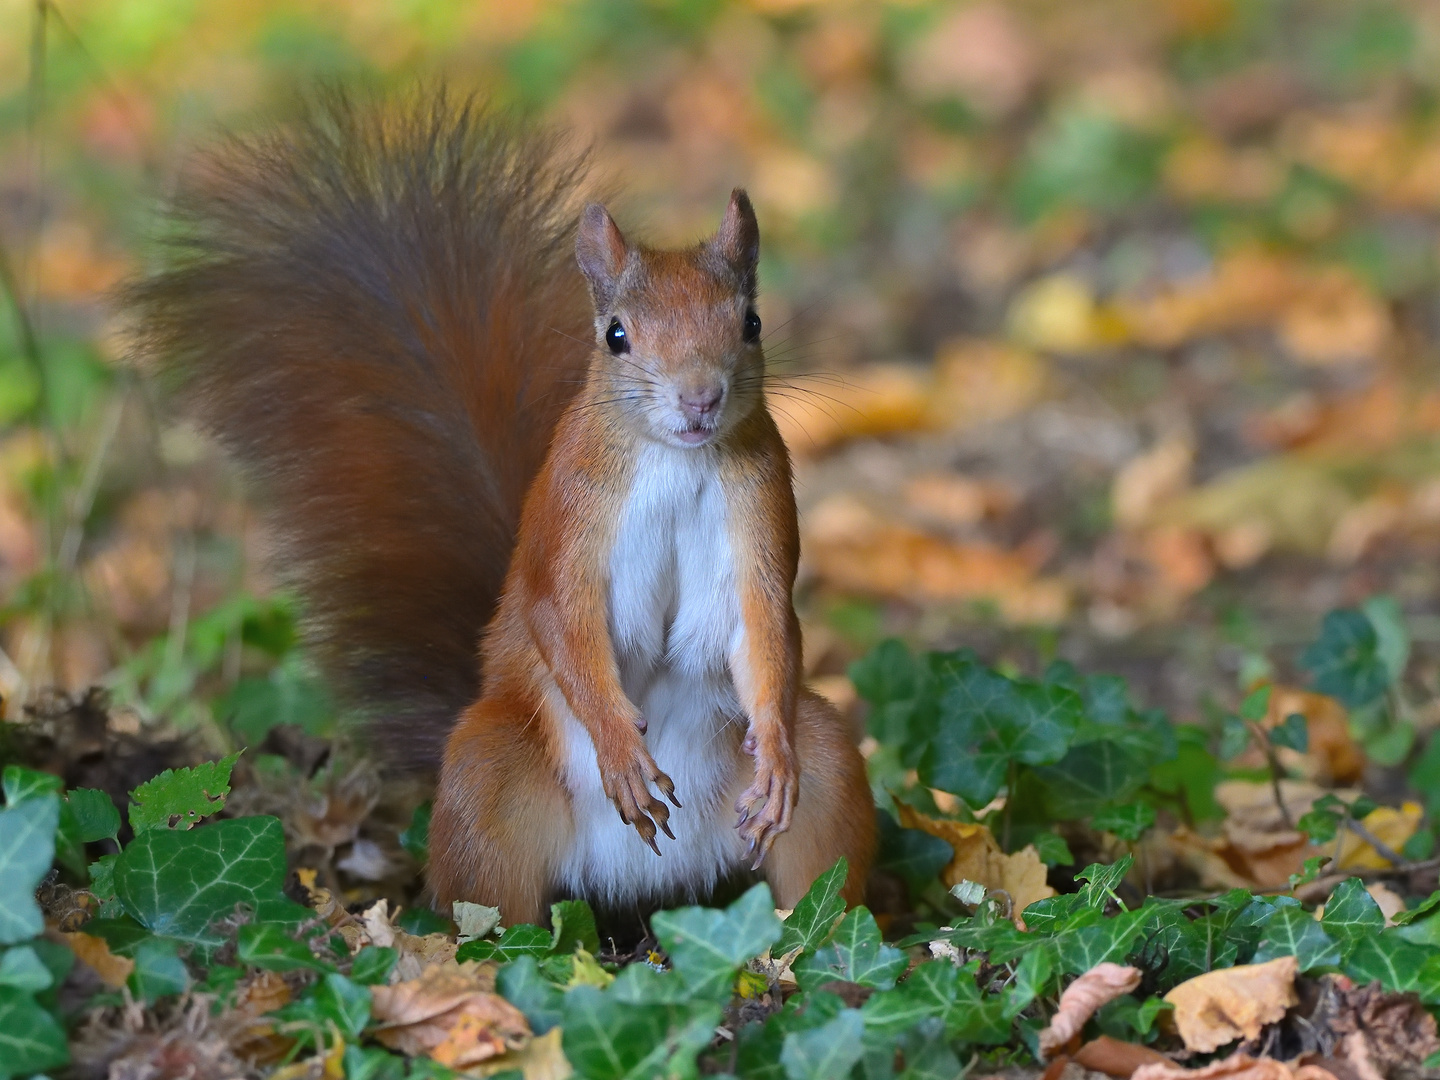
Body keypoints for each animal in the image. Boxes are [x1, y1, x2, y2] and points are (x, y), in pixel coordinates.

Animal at [132, 88, 875, 927]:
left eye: (750, 322)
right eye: (616, 335)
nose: (700, 398)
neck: (678, 460)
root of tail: (645, 886)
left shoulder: (761, 510)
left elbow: (768, 626)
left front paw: (774, 757)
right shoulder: (570, 514)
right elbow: (560, 617)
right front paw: (619, 746)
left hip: (829, 776)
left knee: (819, 864)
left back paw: (807, 932)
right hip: (489, 783)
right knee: (491, 907)